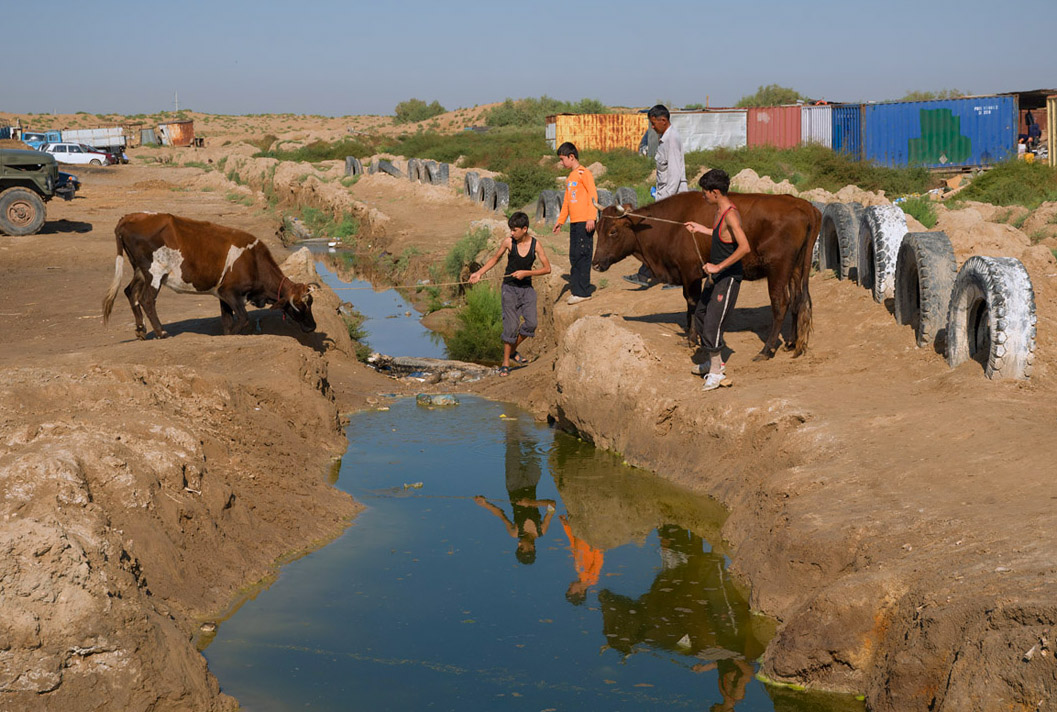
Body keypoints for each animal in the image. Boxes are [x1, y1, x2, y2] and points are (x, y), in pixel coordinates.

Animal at [102, 211, 317, 338]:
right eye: (299, 305)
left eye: (311, 303)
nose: (313, 326)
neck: (254, 261)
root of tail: (130, 217)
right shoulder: (231, 293)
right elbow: (243, 319)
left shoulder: (223, 294)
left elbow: (227, 321)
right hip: (154, 272)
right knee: (146, 299)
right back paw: (161, 331)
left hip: (139, 269)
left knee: (131, 292)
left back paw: (140, 330)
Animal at [596, 190, 816, 357]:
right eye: (598, 229)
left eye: (613, 231)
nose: (595, 264)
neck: (671, 226)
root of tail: (804, 205)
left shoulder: (690, 273)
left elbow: (692, 302)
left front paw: (692, 338)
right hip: (796, 269)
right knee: (797, 301)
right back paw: (791, 342)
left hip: (778, 270)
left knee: (781, 304)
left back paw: (767, 350)